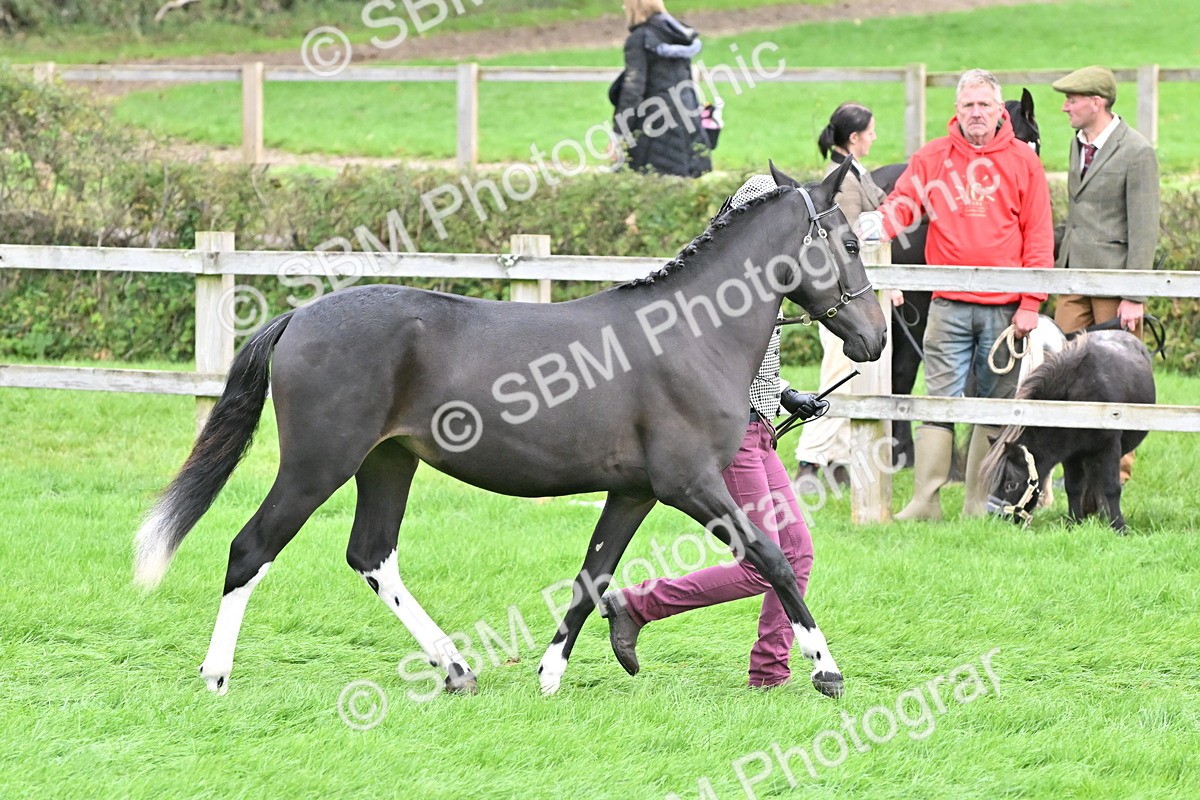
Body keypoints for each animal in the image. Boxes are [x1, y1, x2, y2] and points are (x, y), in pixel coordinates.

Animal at [132, 159, 887, 700]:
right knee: (250, 548)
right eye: (850, 240)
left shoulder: (635, 492)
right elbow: (773, 558)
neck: (688, 335)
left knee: (372, 556)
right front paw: (826, 669)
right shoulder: (692, 484)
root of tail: (299, 318)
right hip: (319, 465)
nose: (875, 338)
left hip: (387, 462)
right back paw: (217, 676)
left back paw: (457, 669)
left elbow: (593, 575)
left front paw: (551, 675)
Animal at [981, 331, 1154, 533]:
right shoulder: (1071, 453)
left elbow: (1111, 488)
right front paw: (1074, 523)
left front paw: (1119, 527)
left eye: (1011, 484)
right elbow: (1073, 487)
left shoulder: (1109, 448)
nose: (995, 517)